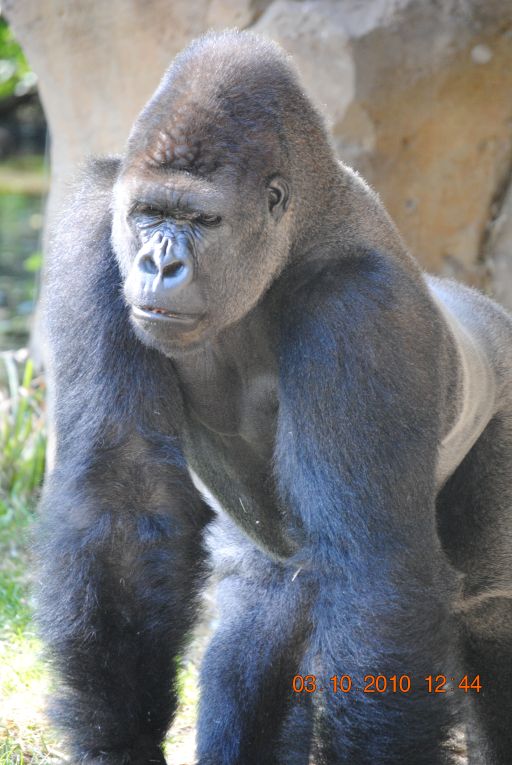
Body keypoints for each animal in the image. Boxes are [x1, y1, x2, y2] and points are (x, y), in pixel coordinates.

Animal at [37, 29, 512, 764]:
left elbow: (374, 577)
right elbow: (123, 496)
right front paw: (120, 744)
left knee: (486, 612)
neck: (297, 231)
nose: (160, 264)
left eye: (201, 220)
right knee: (261, 618)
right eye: (149, 215)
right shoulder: (95, 228)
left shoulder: (361, 309)